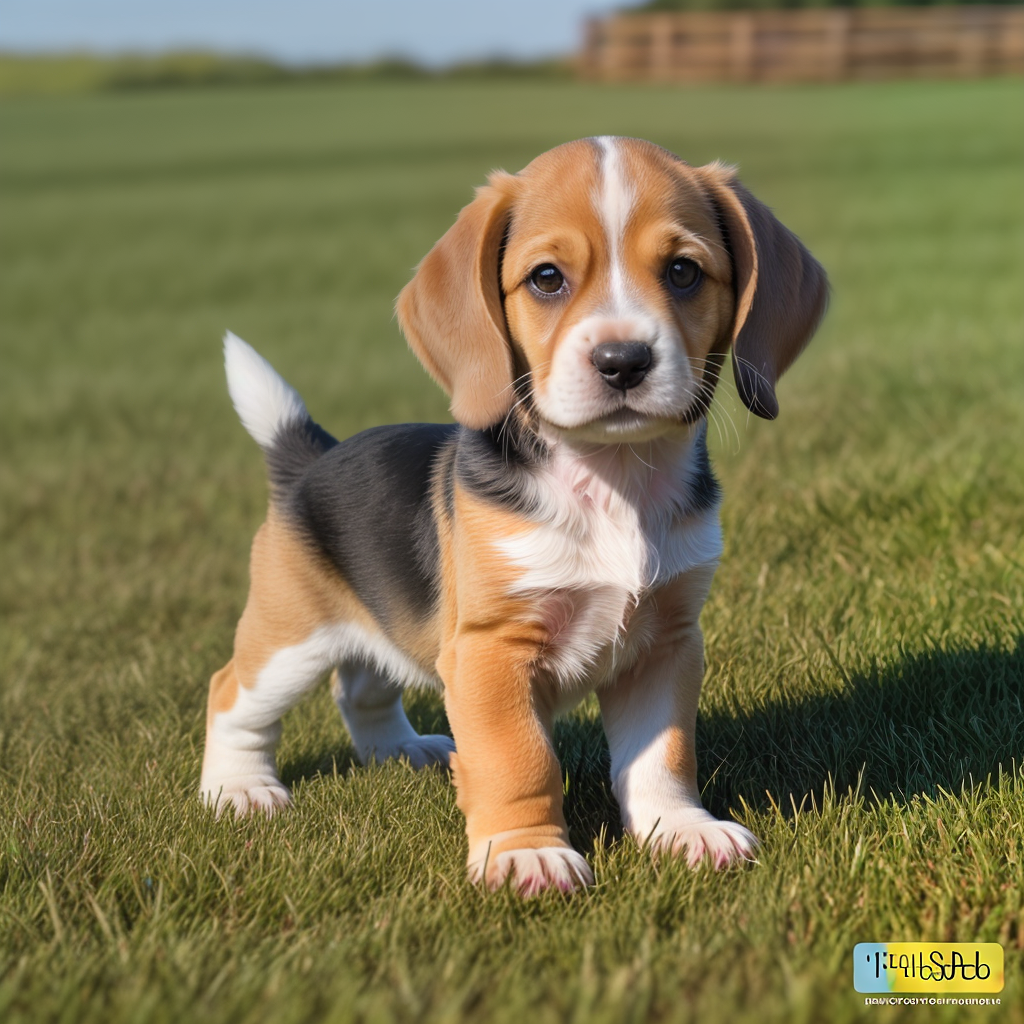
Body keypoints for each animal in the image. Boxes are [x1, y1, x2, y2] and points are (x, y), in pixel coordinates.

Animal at [197, 138, 823, 897]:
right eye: (547, 279)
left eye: (683, 272)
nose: (623, 361)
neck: (611, 481)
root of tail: (308, 458)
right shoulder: (490, 649)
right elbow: (518, 759)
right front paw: (526, 853)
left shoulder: (666, 643)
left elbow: (663, 756)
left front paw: (681, 830)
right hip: (291, 638)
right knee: (230, 694)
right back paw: (238, 790)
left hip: (379, 627)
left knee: (362, 688)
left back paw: (401, 751)